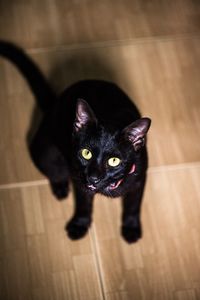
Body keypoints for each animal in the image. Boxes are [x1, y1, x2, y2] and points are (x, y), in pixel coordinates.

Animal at [0, 41, 150, 244]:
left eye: (114, 161)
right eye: (86, 153)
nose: (93, 177)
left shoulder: (139, 180)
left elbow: (133, 206)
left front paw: (131, 228)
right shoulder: (81, 184)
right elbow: (83, 206)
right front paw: (79, 225)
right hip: (45, 153)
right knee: (55, 172)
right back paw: (60, 188)